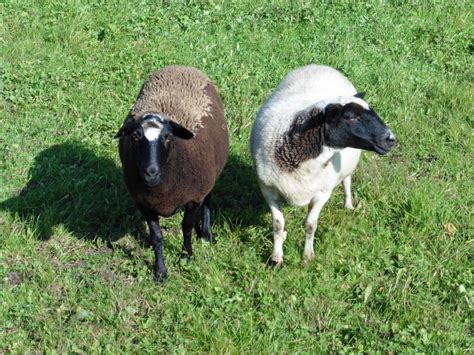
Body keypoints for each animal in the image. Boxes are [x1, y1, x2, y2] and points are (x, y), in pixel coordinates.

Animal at [115, 67, 229, 282]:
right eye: (135, 136)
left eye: (168, 137)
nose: (150, 173)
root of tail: (181, 66)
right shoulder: (144, 204)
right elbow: (157, 237)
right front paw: (160, 271)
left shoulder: (193, 198)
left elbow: (186, 229)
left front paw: (187, 256)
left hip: (210, 175)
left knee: (208, 198)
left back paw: (207, 234)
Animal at [252, 64, 396, 264]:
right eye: (350, 116)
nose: (391, 139)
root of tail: (319, 66)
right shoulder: (268, 189)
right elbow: (278, 225)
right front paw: (276, 258)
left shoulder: (322, 193)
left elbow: (310, 225)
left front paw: (307, 256)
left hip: (347, 167)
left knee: (347, 181)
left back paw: (348, 205)